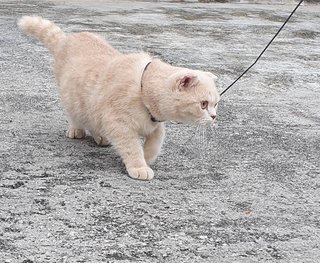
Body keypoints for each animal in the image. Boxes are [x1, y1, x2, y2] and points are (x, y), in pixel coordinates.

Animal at [17, 16, 220, 182]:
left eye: (216, 104)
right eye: (203, 104)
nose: (214, 116)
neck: (143, 91)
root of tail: (67, 39)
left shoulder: (155, 126)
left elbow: (155, 144)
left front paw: (146, 158)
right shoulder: (119, 124)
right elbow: (132, 148)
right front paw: (139, 166)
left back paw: (101, 137)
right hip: (73, 99)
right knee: (77, 116)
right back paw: (78, 130)